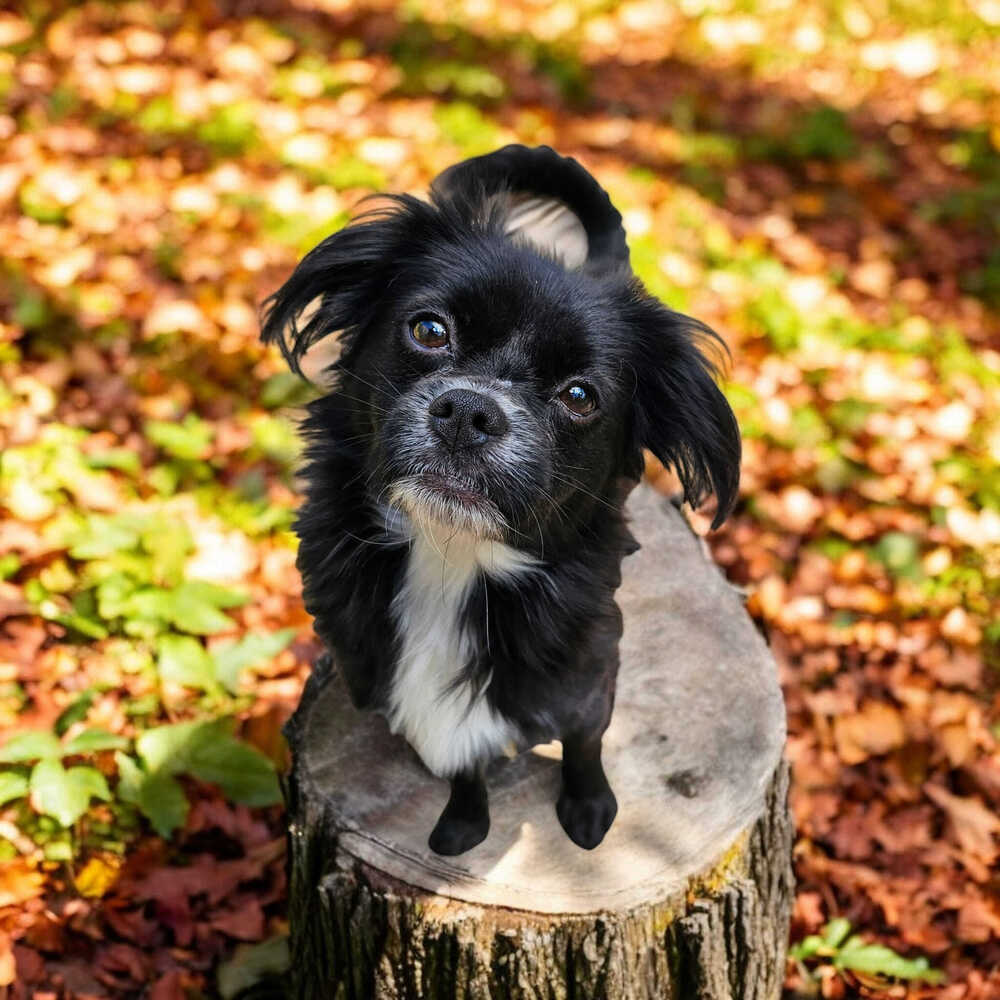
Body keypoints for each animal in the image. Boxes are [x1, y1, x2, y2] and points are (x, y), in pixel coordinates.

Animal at [260, 145, 744, 856]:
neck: (453, 558)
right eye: (429, 330)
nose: (470, 411)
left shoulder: (588, 671)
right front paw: (464, 824)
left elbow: (584, 744)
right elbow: (465, 767)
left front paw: (589, 808)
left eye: (580, 396)